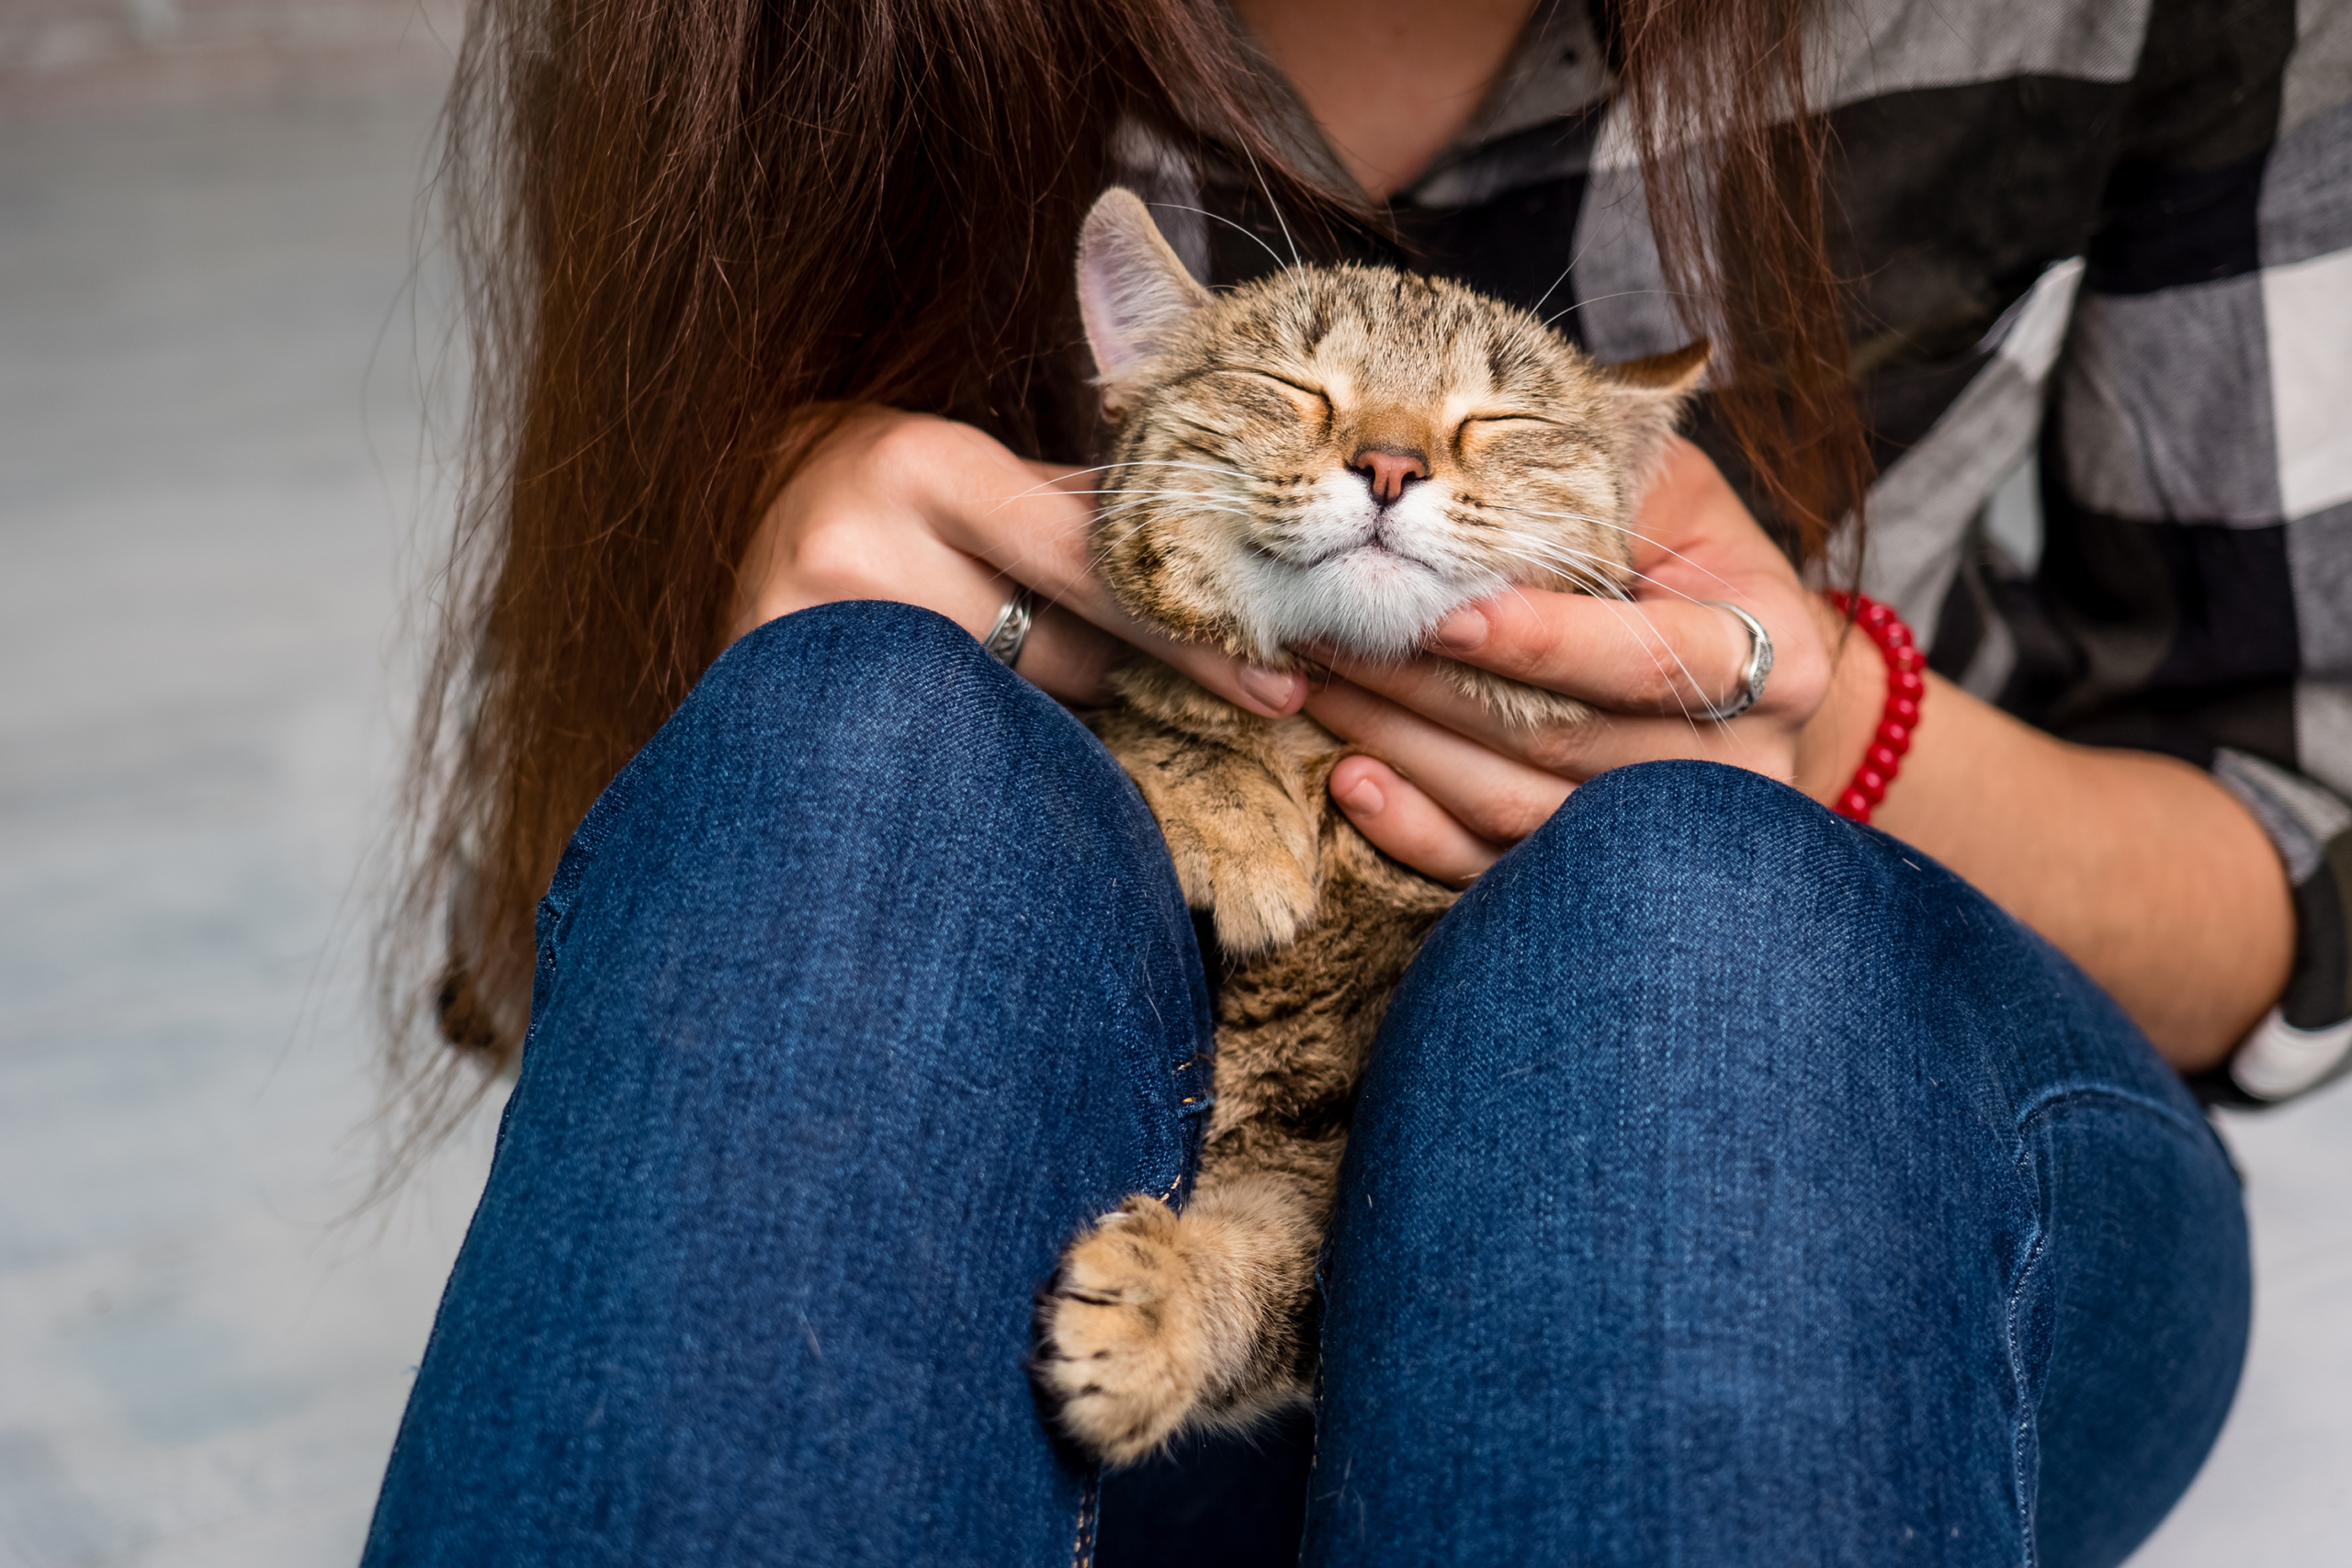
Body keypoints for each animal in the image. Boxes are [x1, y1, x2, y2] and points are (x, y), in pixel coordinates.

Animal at [1030, 190, 1712, 1466]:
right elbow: (1146, 716)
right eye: (1290, 384)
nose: (1390, 463)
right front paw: (1230, 811)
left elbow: (1270, 1262)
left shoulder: (1320, 1176)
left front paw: (1161, 1305)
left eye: (1497, 419)